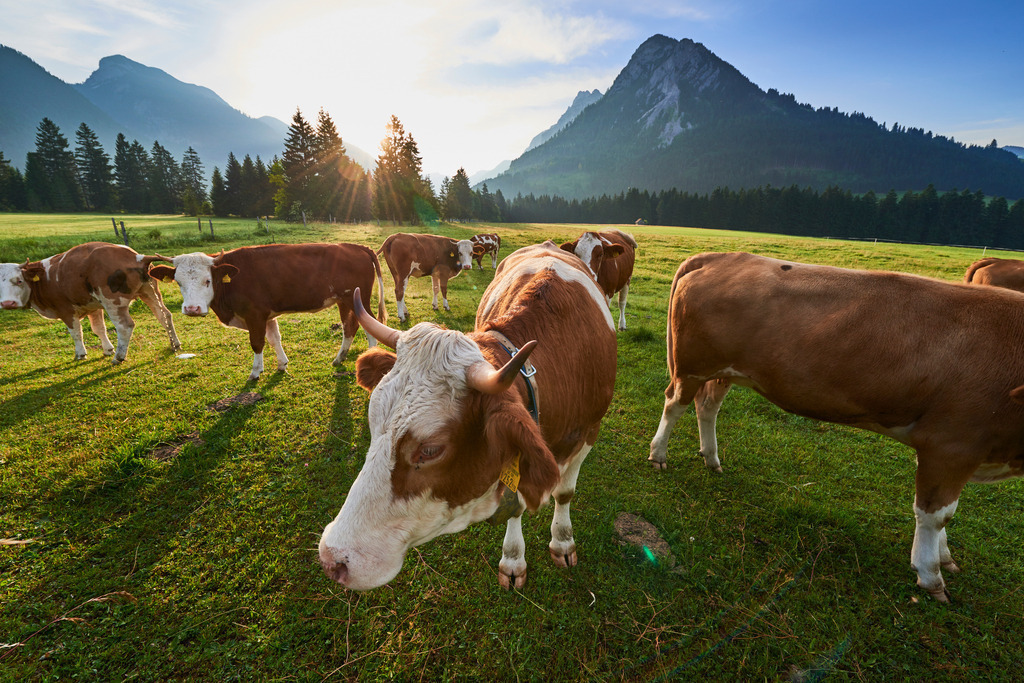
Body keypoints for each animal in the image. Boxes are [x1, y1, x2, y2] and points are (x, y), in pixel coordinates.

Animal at [0, 242, 180, 362]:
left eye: (19, 281)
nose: (8, 304)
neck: (44, 278)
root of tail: (137, 257)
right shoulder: (94, 307)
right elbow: (99, 328)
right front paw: (107, 349)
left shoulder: (66, 310)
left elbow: (76, 332)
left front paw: (81, 353)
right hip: (149, 292)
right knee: (164, 316)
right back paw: (175, 344)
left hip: (114, 303)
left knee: (125, 326)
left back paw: (119, 357)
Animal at [149, 243, 386, 381]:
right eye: (178, 282)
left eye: (208, 281)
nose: (192, 309)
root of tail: (356, 246)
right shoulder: (267, 316)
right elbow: (274, 339)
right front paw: (282, 364)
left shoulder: (255, 315)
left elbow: (257, 343)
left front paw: (255, 372)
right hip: (344, 300)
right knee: (349, 326)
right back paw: (339, 358)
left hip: (357, 299)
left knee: (370, 324)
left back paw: (370, 355)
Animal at [319, 240, 618, 591]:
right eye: (372, 423)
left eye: (431, 450)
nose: (332, 558)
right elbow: (515, 506)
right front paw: (513, 560)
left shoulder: (589, 432)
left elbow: (565, 492)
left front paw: (563, 542)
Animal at [647, 251, 1024, 602]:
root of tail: (721, 256)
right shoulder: (950, 444)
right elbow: (936, 514)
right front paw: (930, 575)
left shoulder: (949, 453)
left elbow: (942, 511)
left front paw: (943, 557)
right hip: (692, 366)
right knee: (674, 404)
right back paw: (658, 454)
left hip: (724, 370)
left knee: (707, 406)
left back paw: (711, 457)